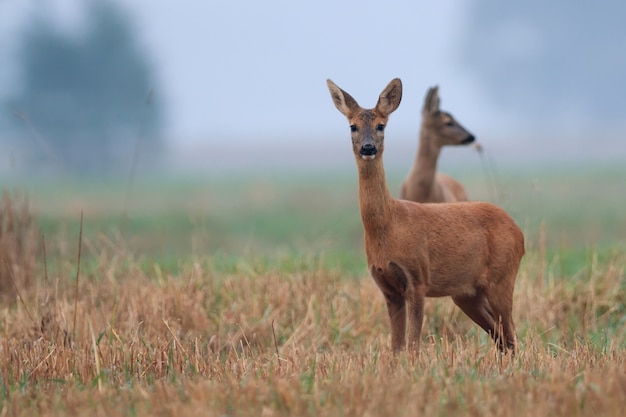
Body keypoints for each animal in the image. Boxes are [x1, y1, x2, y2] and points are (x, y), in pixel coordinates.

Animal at [324, 77, 524, 352]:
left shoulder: (417, 278)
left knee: (513, 335)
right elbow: (396, 347)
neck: (390, 225)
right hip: (467, 293)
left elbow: (413, 346)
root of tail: (519, 233)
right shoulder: (388, 288)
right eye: (352, 126)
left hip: (502, 277)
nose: (368, 147)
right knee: (502, 337)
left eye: (381, 126)